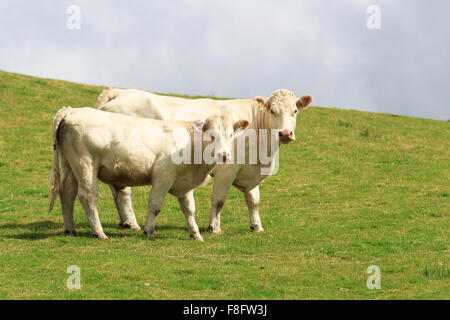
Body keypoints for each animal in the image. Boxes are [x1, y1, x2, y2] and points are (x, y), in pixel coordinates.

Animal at [48, 107, 250, 240]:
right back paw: (99, 232)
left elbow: (189, 209)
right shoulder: (163, 176)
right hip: (86, 165)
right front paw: (149, 230)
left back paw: (70, 229)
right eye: (211, 135)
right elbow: (155, 205)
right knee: (87, 196)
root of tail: (71, 111)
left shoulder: (184, 183)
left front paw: (195, 233)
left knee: (67, 193)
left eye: (231, 134)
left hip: (70, 165)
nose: (224, 155)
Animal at [96, 89, 312, 234]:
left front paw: (257, 226)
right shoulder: (227, 169)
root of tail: (120, 92)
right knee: (124, 193)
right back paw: (132, 223)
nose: (285, 133)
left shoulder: (248, 167)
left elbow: (253, 200)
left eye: (295, 111)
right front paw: (214, 227)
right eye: (273, 111)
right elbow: (219, 199)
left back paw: (125, 222)